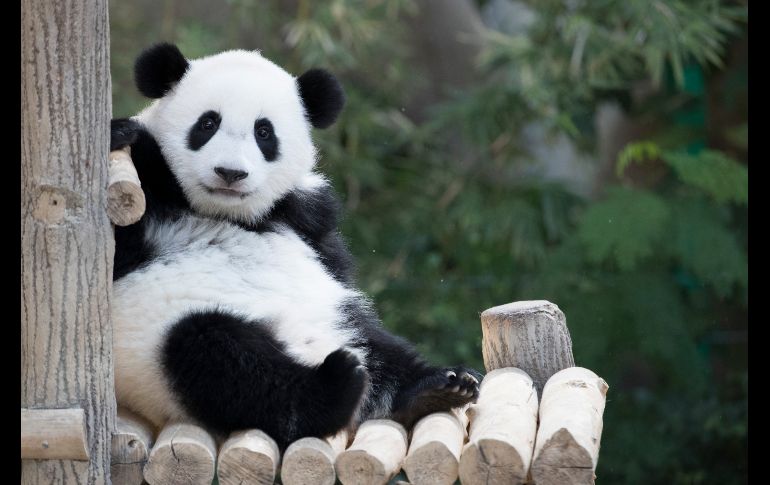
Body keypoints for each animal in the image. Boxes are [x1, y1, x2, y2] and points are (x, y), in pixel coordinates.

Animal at [110, 43, 481, 450]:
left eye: (264, 132)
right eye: (207, 124)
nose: (230, 173)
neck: (228, 214)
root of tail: (304, 344)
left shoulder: (307, 220)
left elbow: (333, 258)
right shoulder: (144, 202)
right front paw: (119, 133)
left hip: (336, 315)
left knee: (380, 347)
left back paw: (439, 387)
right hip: (163, 347)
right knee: (226, 363)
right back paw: (335, 386)